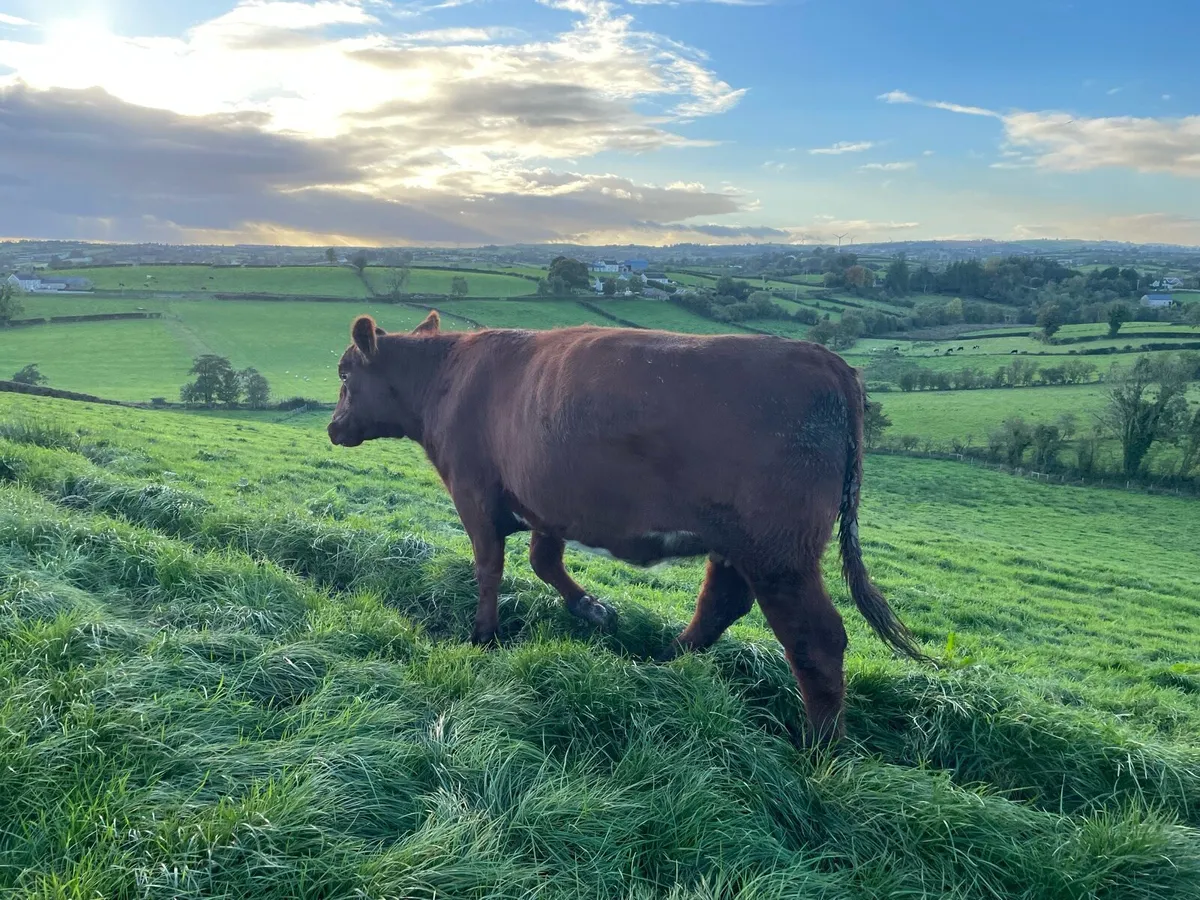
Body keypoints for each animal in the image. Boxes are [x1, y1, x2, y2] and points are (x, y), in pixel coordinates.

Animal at [327, 311, 923, 744]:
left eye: (345, 375)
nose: (333, 428)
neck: (447, 378)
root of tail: (827, 361)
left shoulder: (475, 494)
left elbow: (490, 568)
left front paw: (482, 637)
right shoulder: (547, 501)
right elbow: (543, 560)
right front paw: (593, 609)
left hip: (780, 555)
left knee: (817, 641)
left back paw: (819, 753)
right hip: (740, 545)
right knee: (720, 605)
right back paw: (662, 663)